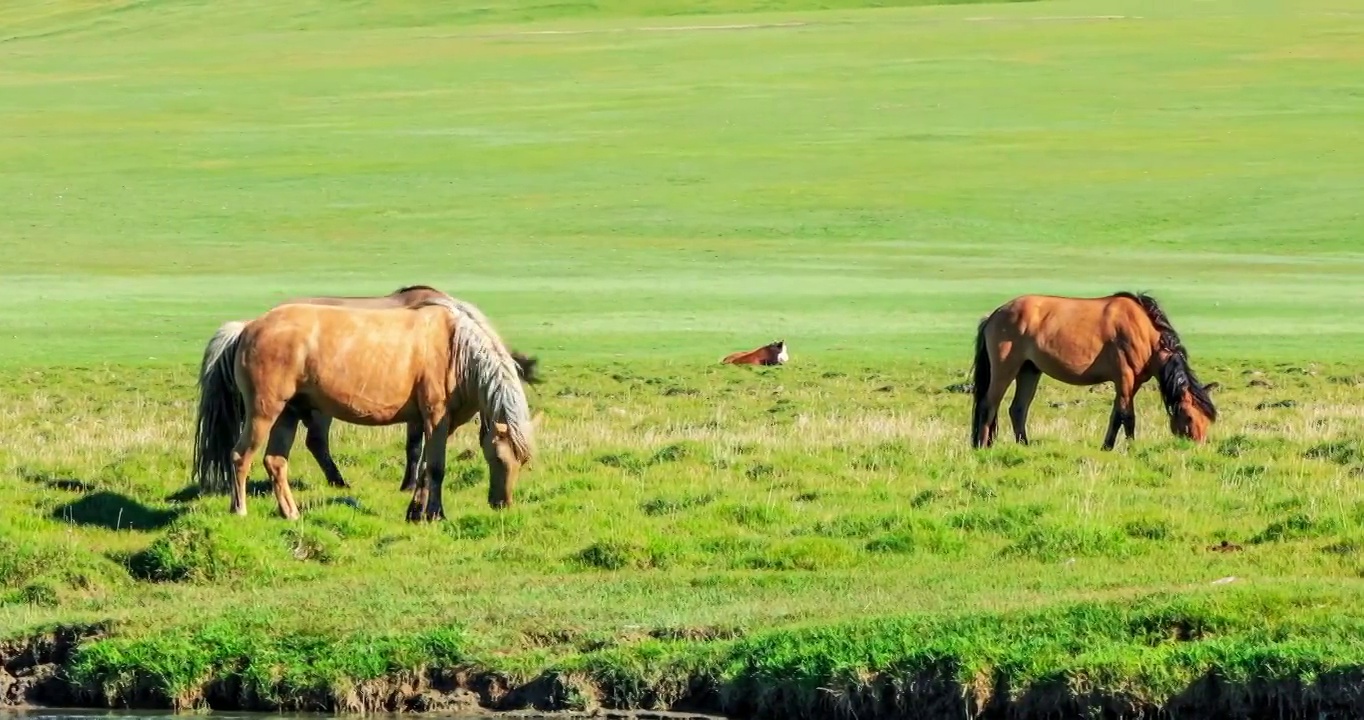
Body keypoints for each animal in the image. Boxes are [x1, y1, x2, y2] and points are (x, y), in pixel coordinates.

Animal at [965, 291, 1222, 450]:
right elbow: (1128, 416)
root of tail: (995, 314)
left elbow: (1116, 415)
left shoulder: (1132, 383)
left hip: (1029, 370)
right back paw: (982, 447)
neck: (1144, 332)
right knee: (989, 405)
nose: (1197, 446)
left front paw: (1108, 446)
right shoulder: (1124, 378)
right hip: (1005, 368)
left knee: (1017, 409)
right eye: (1189, 416)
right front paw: (1131, 448)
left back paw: (1024, 446)